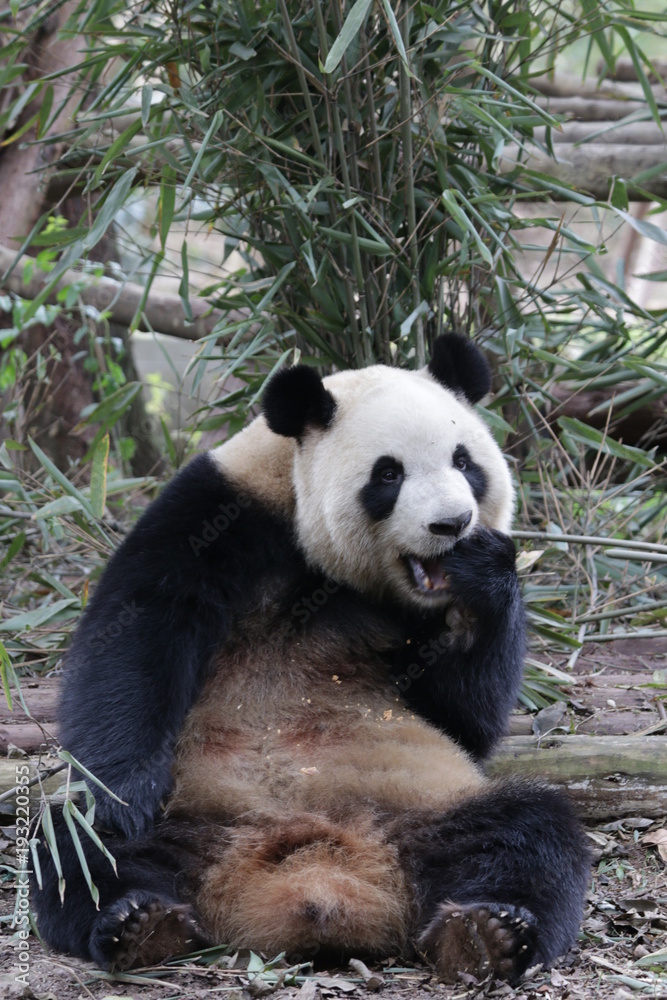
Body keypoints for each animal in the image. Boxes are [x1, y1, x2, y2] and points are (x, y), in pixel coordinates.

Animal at [34, 334, 590, 983]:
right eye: (389, 473)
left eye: (464, 463)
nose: (452, 524)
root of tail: (319, 872)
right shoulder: (217, 510)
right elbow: (136, 635)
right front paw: (127, 792)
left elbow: (464, 720)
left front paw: (481, 570)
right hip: (194, 809)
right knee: (79, 847)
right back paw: (136, 923)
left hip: (430, 804)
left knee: (530, 831)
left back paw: (486, 931)